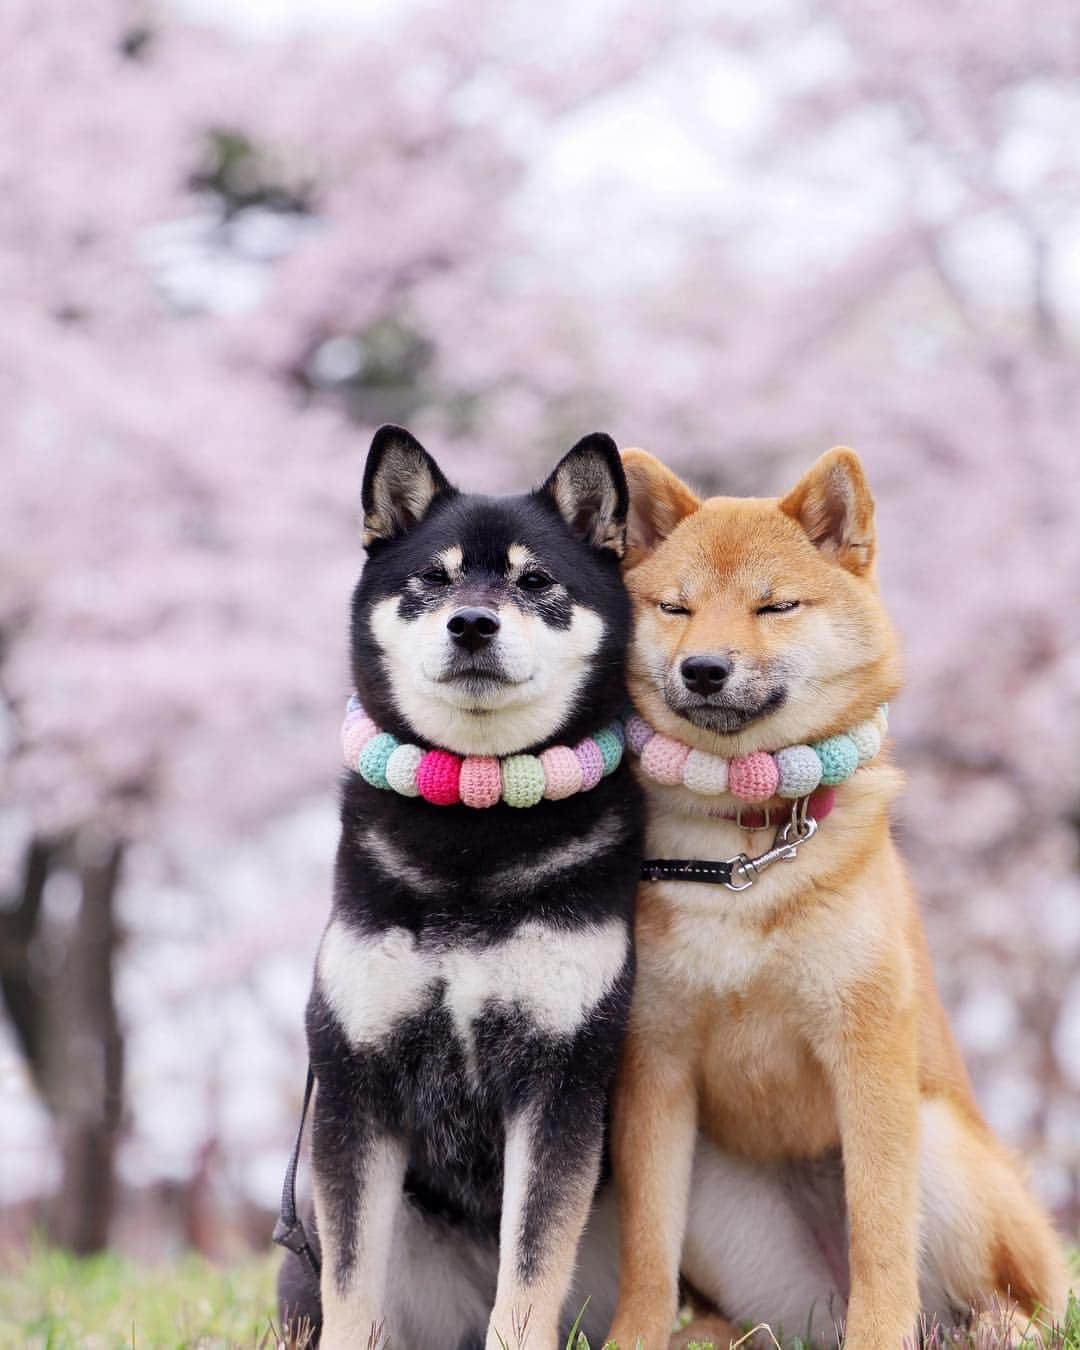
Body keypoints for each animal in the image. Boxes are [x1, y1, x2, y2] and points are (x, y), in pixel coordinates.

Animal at [282, 426, 645, 1344]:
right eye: (434, 578)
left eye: (535, 581)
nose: (473, 621)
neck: (474, 824)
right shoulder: (354, 1078)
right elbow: (350, 1281)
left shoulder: (560, 1078)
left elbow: (532, 1267)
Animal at [602, 448, 1069, 1344]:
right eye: (676, 608)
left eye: (774, 606)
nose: (703, 667)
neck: (746, 852)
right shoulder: (655, 1068)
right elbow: (643, 1252)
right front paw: (631, 1340)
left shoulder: (868, 1050)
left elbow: (882, 1239)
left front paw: (878, 1336)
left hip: (941, 1144)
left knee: (1013, 1301)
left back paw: (993, 1329)